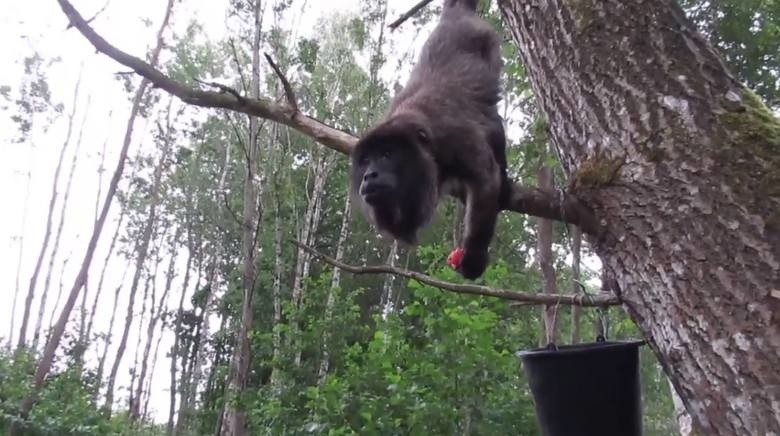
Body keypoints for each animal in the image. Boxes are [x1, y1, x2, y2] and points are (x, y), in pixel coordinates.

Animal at [350, 0, 508, 280]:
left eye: (387, 154)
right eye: (366, 161)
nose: (369, 176)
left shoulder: (455, 139)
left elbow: (486, 179)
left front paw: (474, 256)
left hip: (487, 42)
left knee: (492, 121)